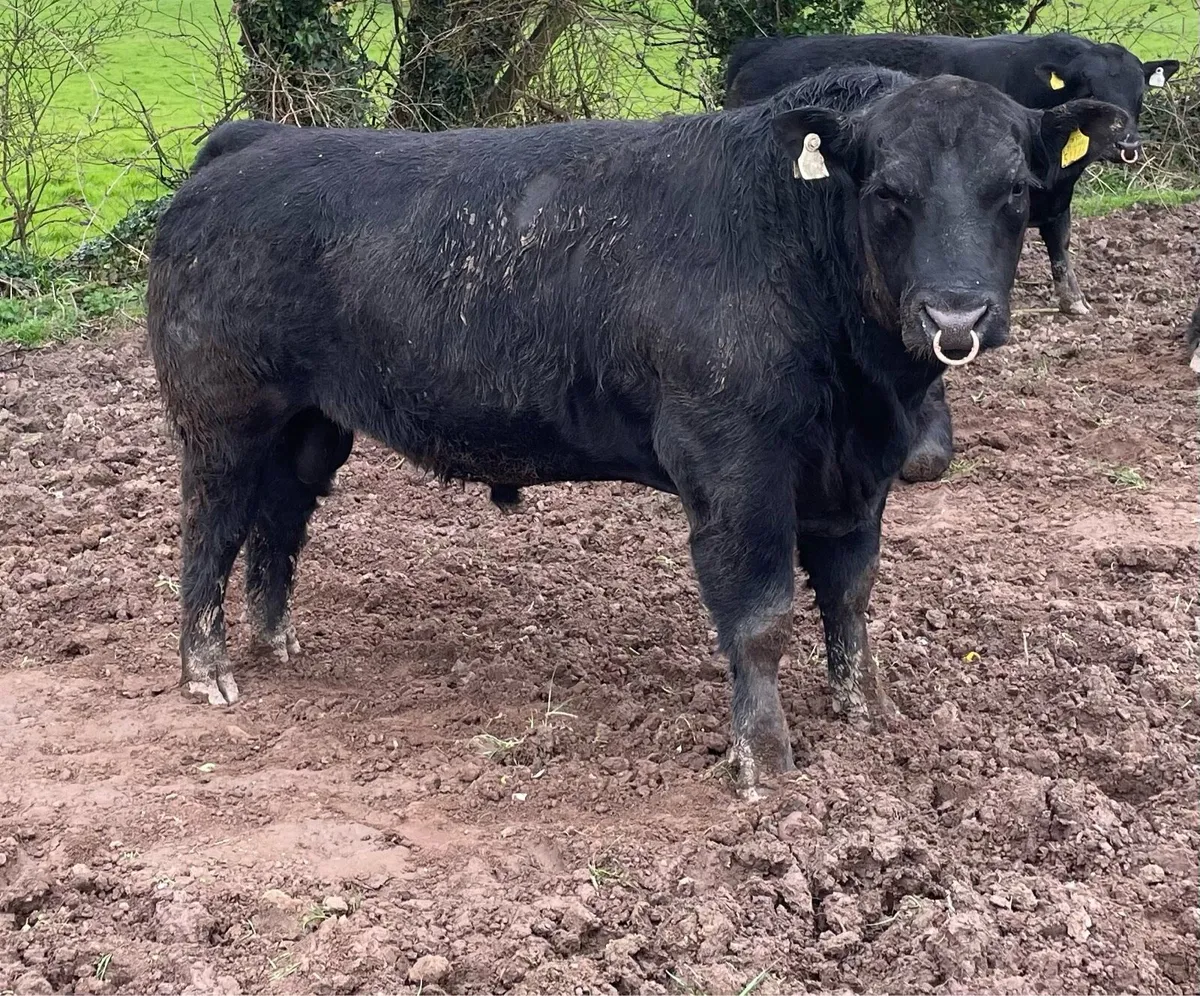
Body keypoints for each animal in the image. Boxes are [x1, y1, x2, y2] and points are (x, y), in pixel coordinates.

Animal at [148, 67, 1129, 793]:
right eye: (889, 192)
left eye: (1015, 191)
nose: (956, 315)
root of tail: (257, 140)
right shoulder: (735, 467)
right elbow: (761, 618)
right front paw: (766, 763)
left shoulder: (858, 477)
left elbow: (850, 597)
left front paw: (868, 714)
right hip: (222, 423)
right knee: (210, 530)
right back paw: (208, 668)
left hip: (312, 426)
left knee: (279, 526)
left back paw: (277, 639)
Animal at [725, 32, 1180, 317]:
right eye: (1089, 86)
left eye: (1140, 90)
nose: (1127, 144)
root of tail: (762, 48)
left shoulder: (1056, 197)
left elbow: (1060, 244)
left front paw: (1075, 301)